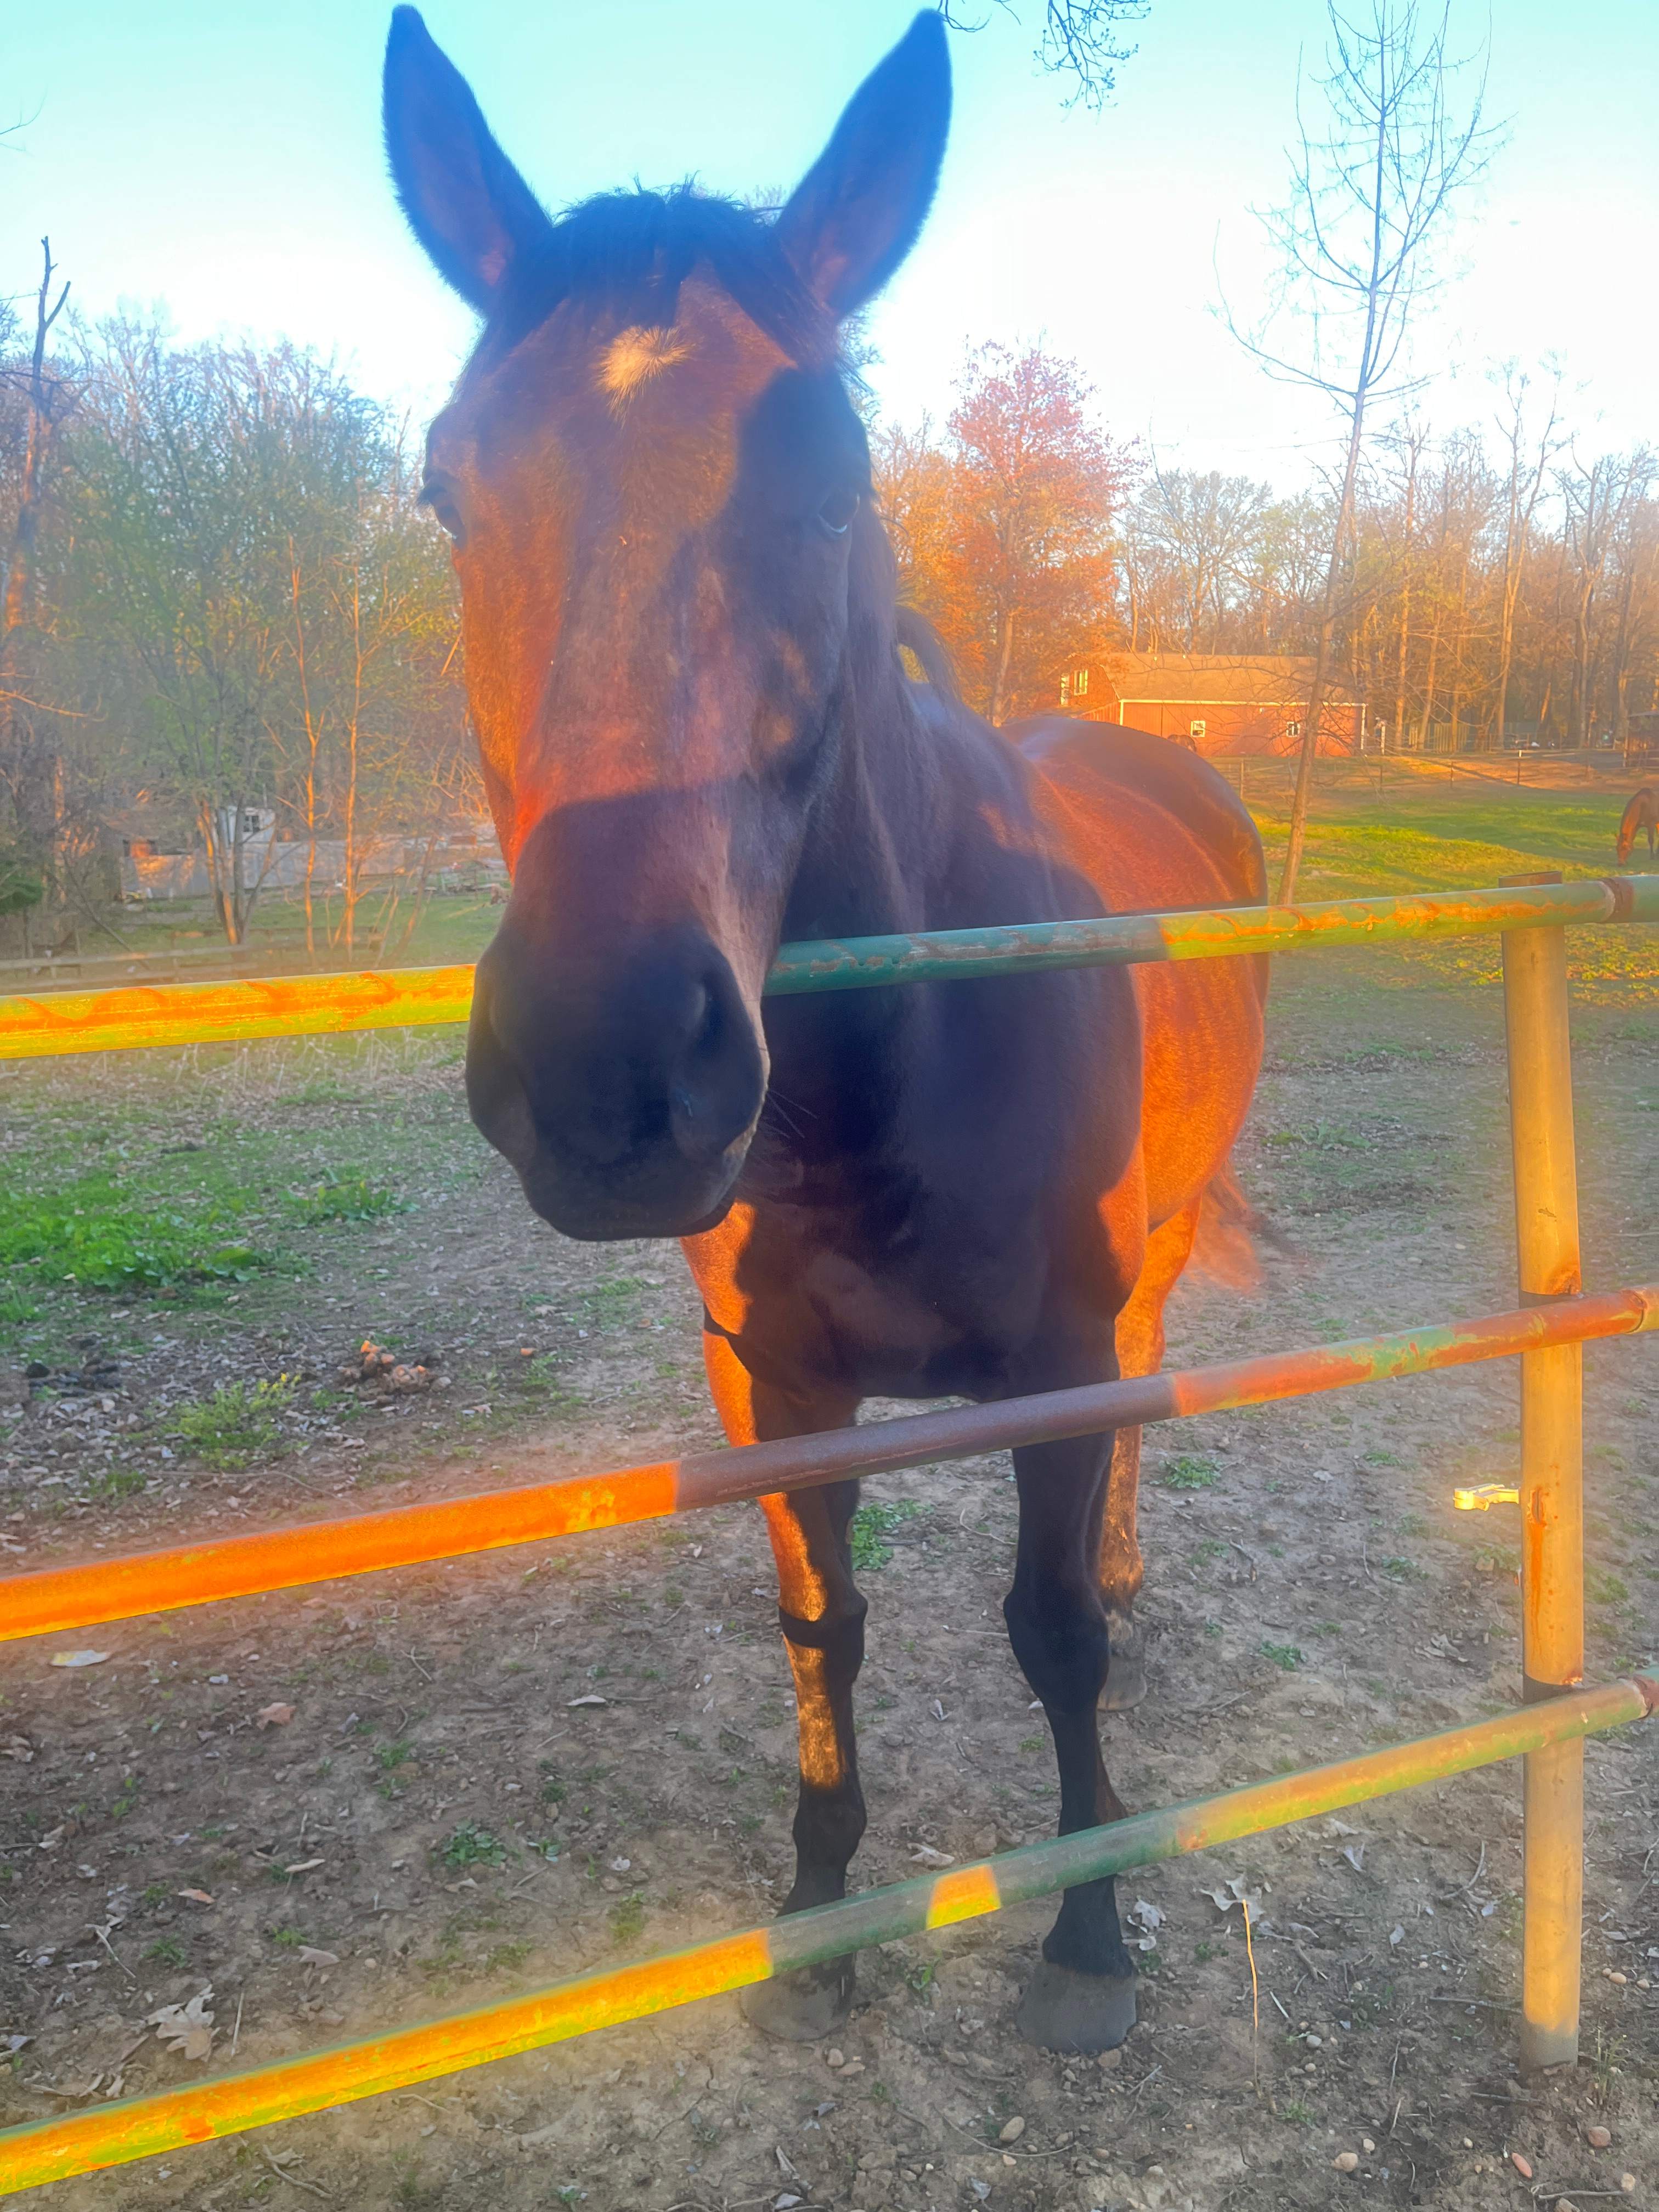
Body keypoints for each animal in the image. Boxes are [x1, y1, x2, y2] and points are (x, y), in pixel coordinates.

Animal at [382, 7, 1267, 2054]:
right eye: (452, 489)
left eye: (839, 475)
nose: (614, 1066)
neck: (893, 1080)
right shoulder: (772, 1388)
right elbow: (821, 1626)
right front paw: (816, 1909)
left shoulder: (1056, 1362)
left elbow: (1051, 1634)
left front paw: (1087, 1936)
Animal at [1615, 786, 1658, 863]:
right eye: (1617, 848)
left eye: (1625, 848)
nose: (1620, 864)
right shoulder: (1636, 826)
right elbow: (1632, 838)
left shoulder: (1651, 824)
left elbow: (1651, 840)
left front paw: (1652, 856)